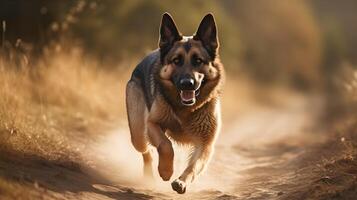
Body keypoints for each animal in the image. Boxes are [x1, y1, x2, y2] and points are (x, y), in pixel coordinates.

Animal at [126, 12, 224, 194]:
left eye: (198, 61)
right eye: (176, 61)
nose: (187, 83)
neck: (184, 110)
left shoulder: (206, 144)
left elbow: (193, 166)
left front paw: (181, 182)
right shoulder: (152, 123)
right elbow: (166, 144)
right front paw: (165, 170)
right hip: (138, 133)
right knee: (147, 151)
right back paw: (149, 175)